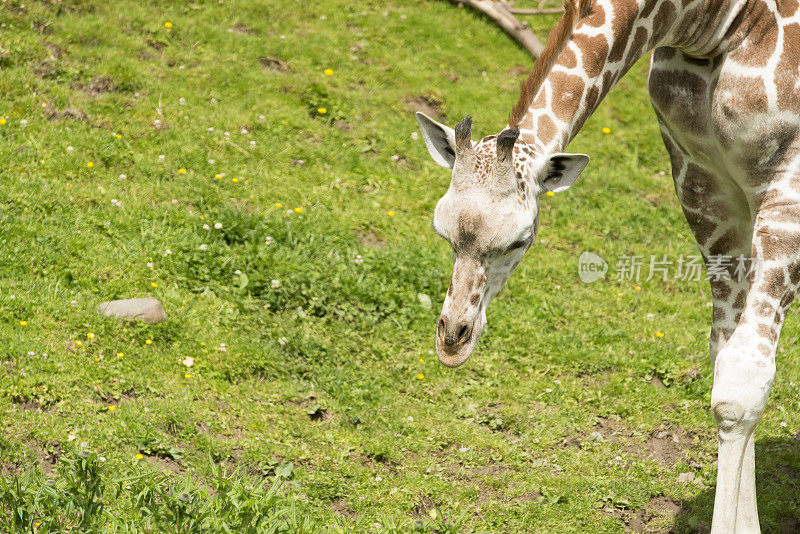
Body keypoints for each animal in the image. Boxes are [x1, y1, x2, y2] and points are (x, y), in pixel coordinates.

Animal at [416, 0, 800, 532]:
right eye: (441, 228)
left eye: (521, 239)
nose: (453, 340)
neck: (716, 23)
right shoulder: (704, 181)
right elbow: (727, 358)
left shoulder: (788, 187)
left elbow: (742, 384)